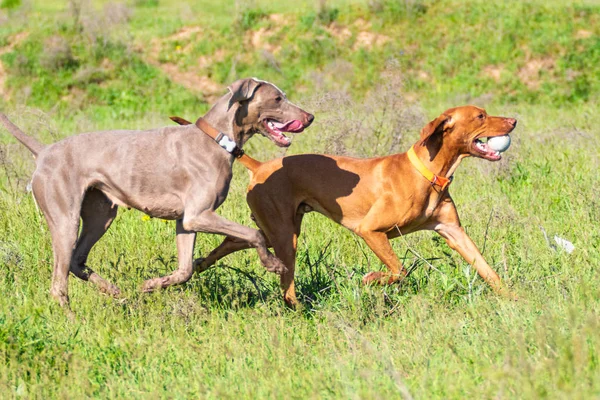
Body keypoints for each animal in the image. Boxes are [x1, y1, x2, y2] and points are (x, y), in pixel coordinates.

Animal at [0, 76, 316, 306]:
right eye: (277, 98)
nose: (310, 116)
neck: (217, 139)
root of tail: (43, 152)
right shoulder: (199, 214)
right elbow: (255, 234)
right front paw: (274, 264)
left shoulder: (186, 222)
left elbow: (185, 270)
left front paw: (151, 285)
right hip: (64, 216)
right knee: (58, 283)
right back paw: (73, 321)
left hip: (101, 214)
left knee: (77, 261)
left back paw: (115, 291)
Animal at [172, 105, 516, 306]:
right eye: (481, 116)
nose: (514, 120)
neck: (428, 173)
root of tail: (260, 166)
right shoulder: (371, 230)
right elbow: (399, 270)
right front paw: (371, 279)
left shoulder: (453, 231)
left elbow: (487, 269)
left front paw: (512, 297)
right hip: (284, 235)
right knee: (285, 281)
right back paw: (298, 309)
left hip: (272, 230)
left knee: (231, 243)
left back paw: (199, 264)